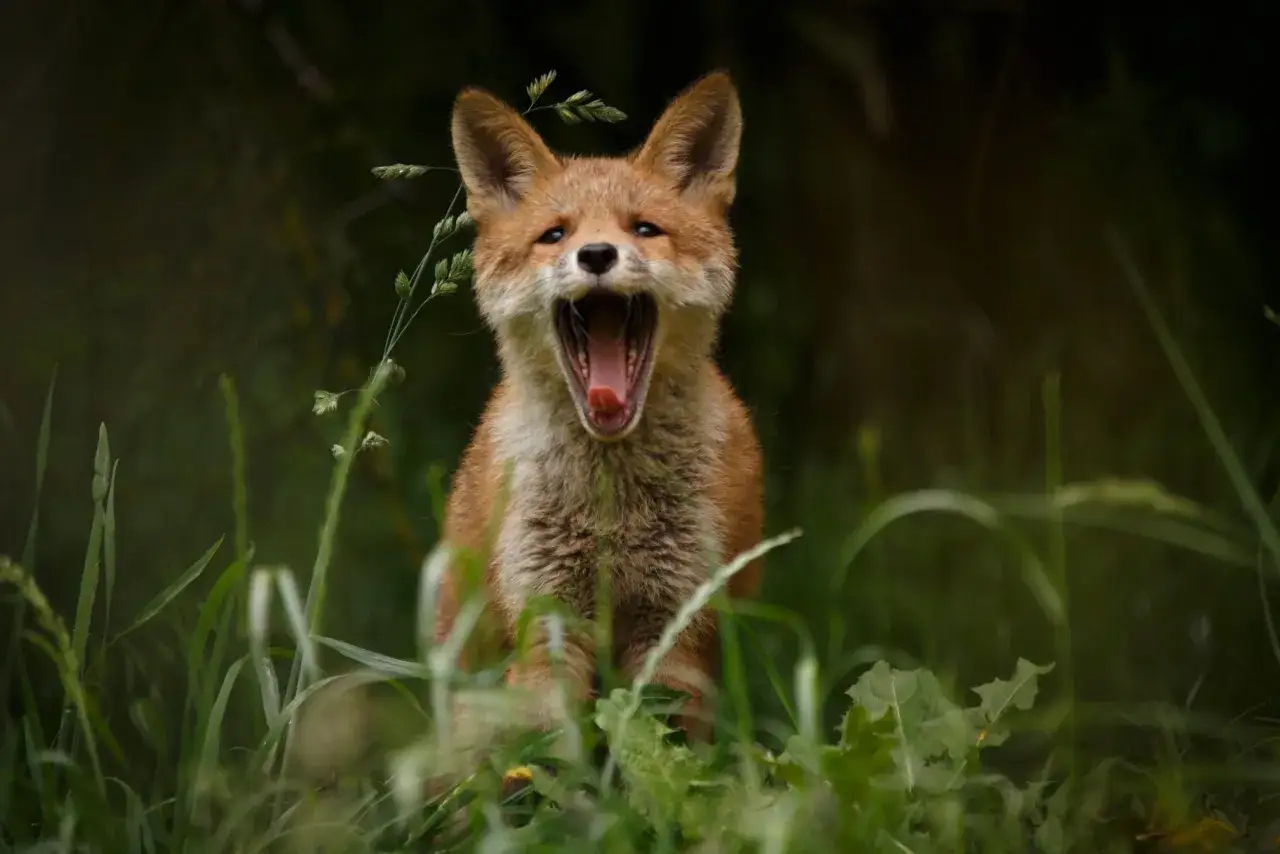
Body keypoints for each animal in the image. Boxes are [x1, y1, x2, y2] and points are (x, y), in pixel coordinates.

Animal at [434, 71, 764, 752]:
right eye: (555, 235)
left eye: (645, 229)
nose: (596, 256)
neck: (612, 513)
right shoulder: (546, 623)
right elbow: (552, 761)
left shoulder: (678, 633)